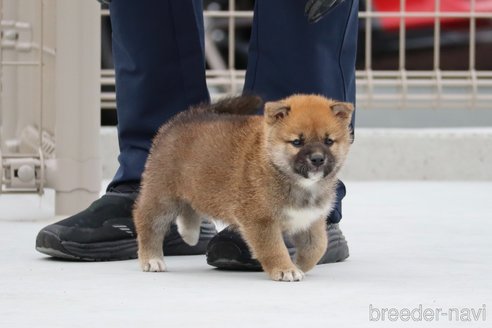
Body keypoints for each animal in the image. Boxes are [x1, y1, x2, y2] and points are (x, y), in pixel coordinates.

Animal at [133, 93, 352, 280]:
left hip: (193, 186)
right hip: (163, 196)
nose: (318, 159)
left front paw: (298, 265)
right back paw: (152, 259)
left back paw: (189, 233)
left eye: (329, 141)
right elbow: (274, 249)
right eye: (297, 142)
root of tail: (181, 119)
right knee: (147, 222)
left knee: (189, 208)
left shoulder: (310, 220)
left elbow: (317, 247)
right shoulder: (261, 221)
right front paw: (285, 269)